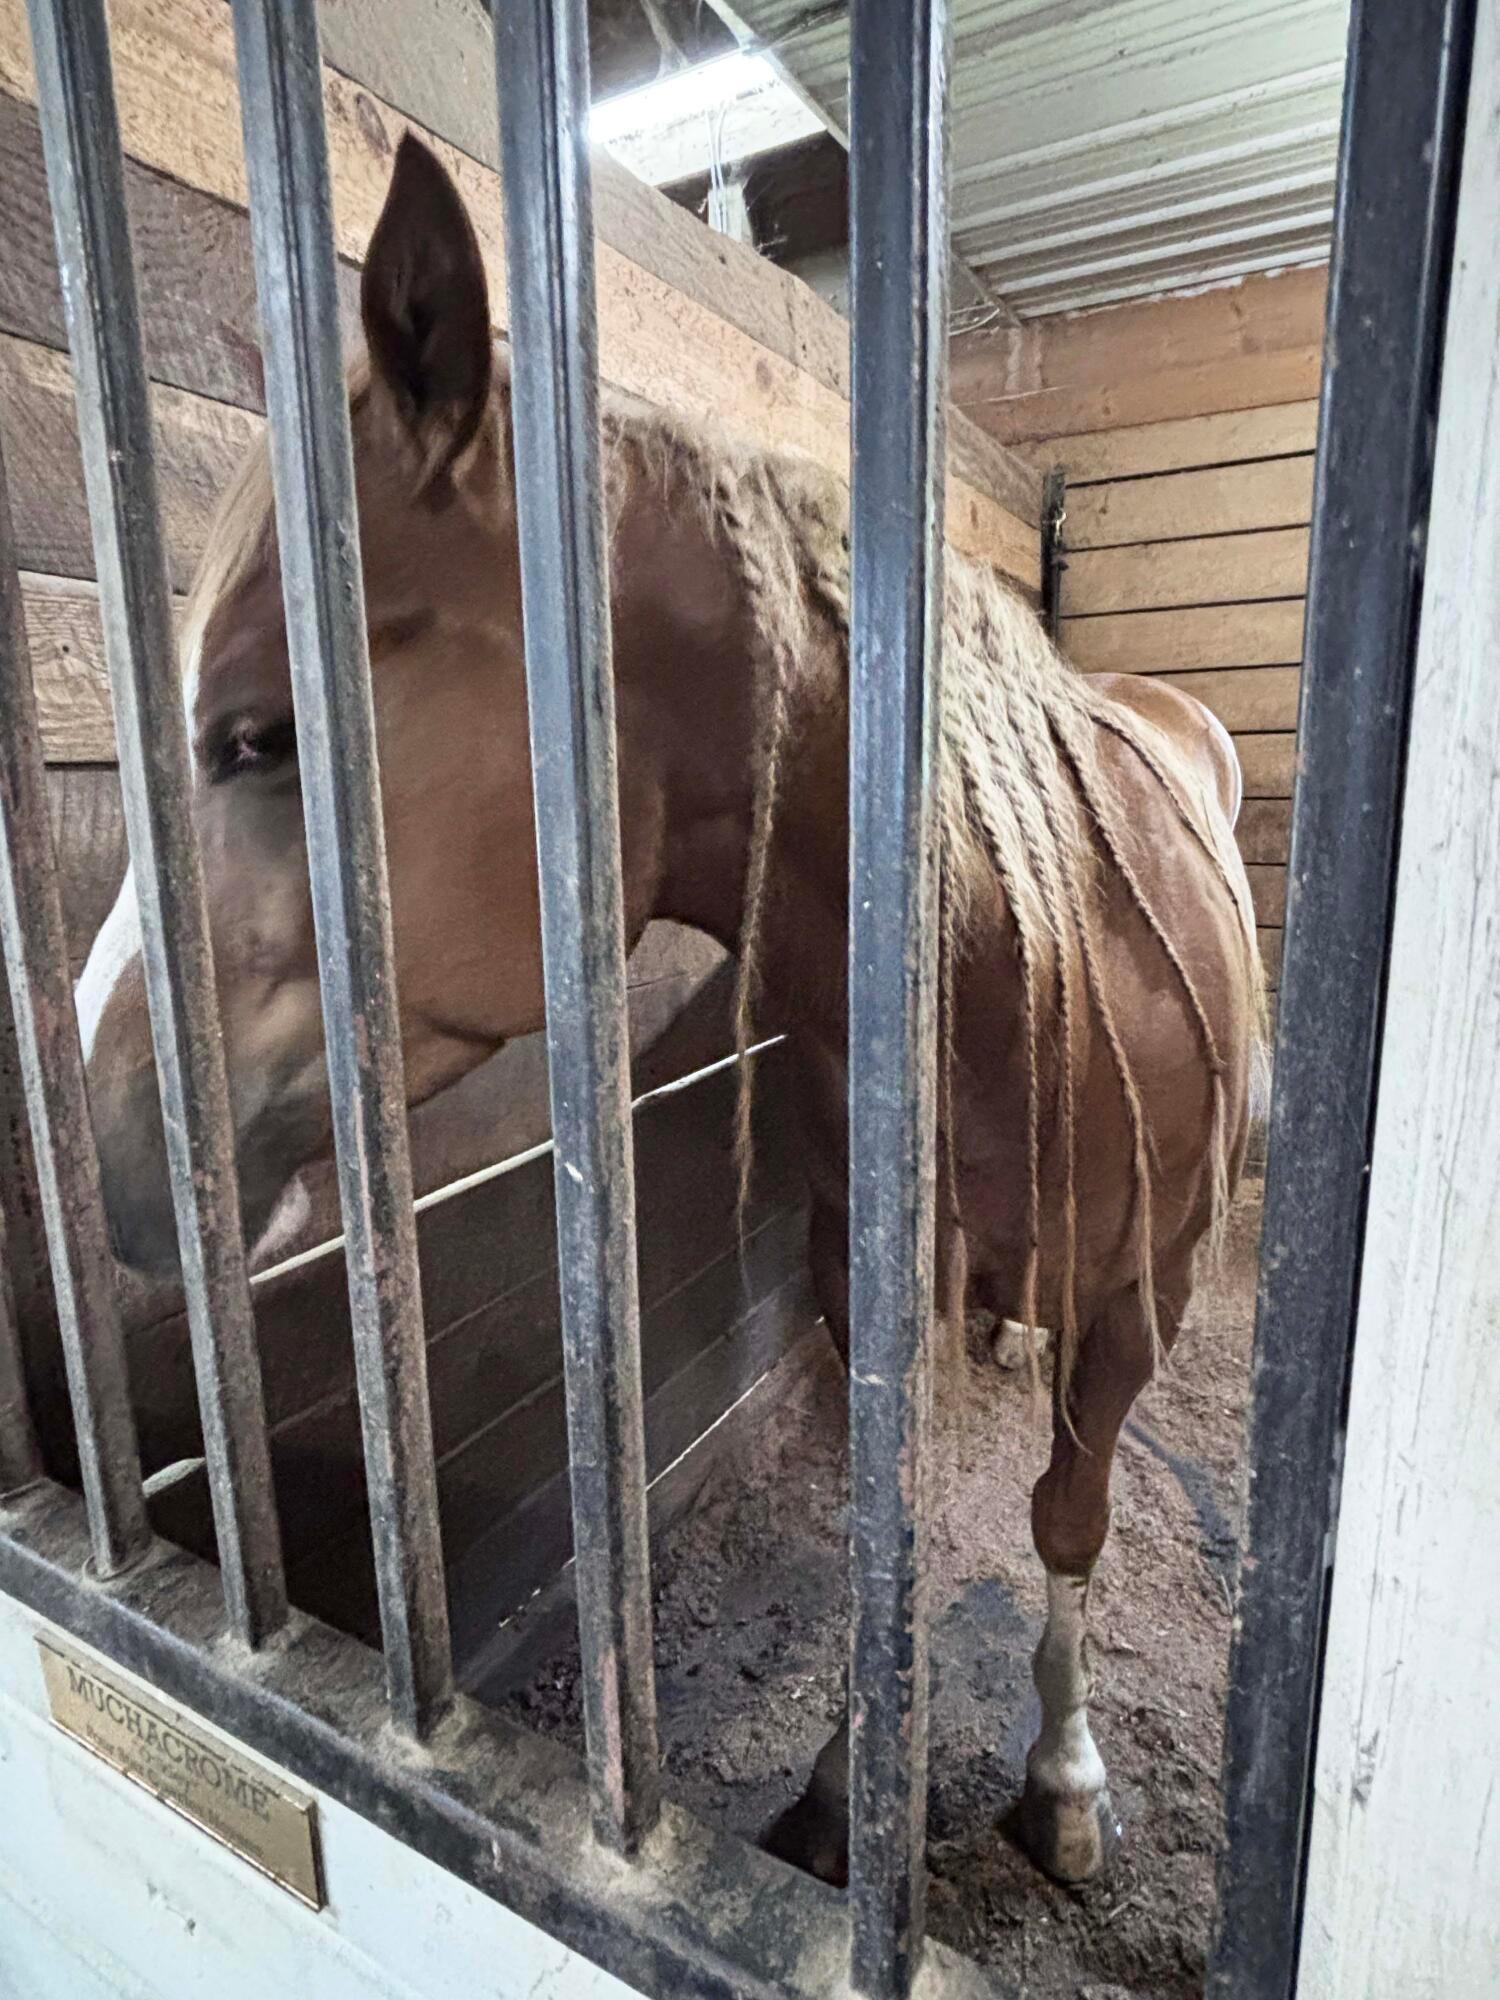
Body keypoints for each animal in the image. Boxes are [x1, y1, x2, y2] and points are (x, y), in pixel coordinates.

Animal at [76, 135, 1263, 1890]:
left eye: (260, 734)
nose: (106, 1145)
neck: (1025, 964)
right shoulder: (869, 1272)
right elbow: (895, 1526)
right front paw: (850, 1784)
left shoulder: (1139, 1298)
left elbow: (1067, 1519)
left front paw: (1062, 1779)